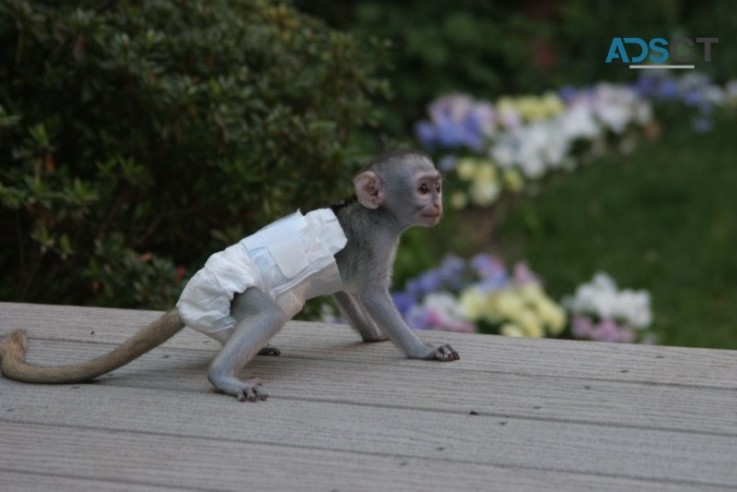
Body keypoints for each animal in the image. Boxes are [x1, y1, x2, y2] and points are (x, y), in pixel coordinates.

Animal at [1, 152, 460, 402]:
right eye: (423, 189)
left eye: (436, 187)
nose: (438, 202)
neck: (377, 214)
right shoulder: (376, 244)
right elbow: (372, 295)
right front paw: (421, 349)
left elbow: (345, 293)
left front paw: (373, 335)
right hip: (238, 293)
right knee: (267, 314)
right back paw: (223, 376)